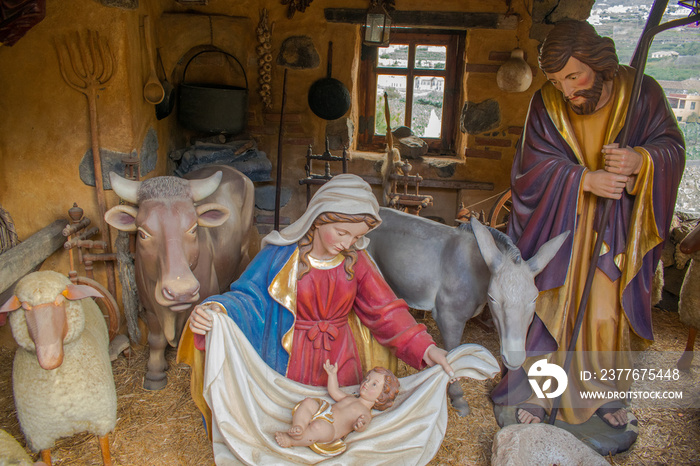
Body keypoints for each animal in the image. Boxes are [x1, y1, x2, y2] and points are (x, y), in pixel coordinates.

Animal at [0, 272, 117, 464]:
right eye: (24, 307)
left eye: (59, 301)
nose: (49, 358)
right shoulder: (39, 434)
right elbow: (46, 457)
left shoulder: (101, 418)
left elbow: (105, 449)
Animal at [105, 164, 256, 390]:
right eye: (143, 233)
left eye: (193, 228)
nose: (181, 292)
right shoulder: (149, 307)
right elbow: (156, 339)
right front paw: (155, 373)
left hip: (244, 253)